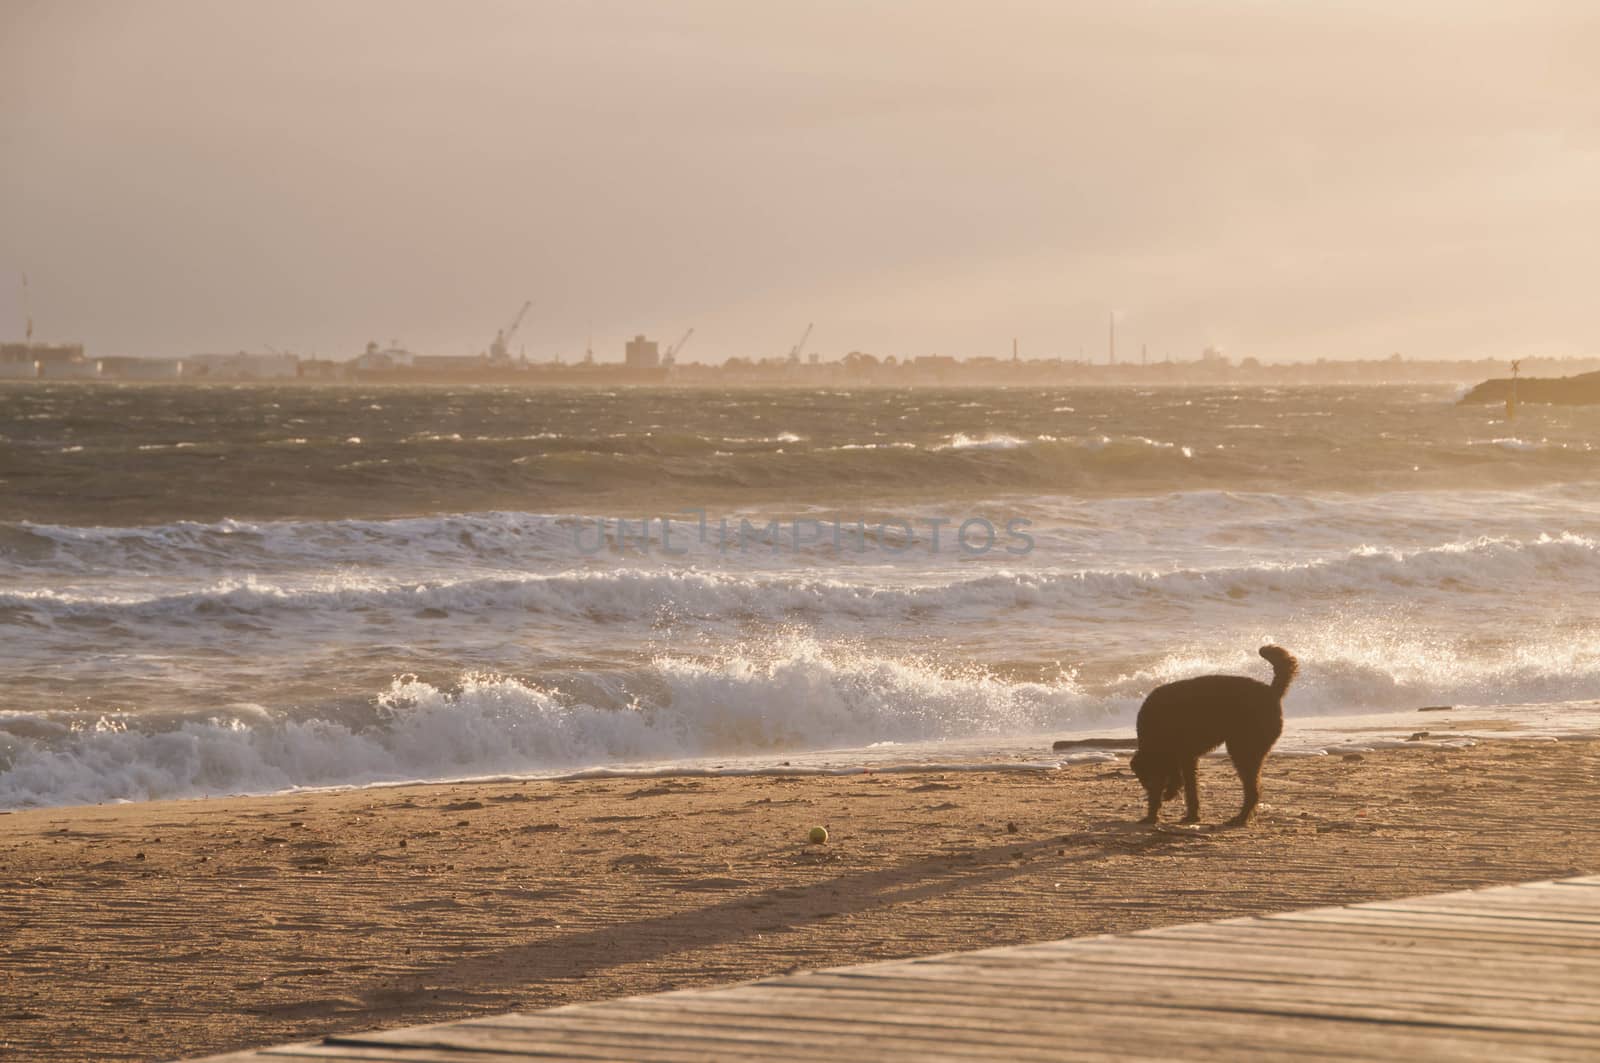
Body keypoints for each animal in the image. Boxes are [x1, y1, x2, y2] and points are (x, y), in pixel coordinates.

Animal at [1126, 643, 1299, 826]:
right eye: (1145, 780)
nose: (1151, 817)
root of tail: (1272, 692)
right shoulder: (1187, 758)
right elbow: (1191, 789)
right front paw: (1191, 816)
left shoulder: (1178, 757)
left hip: (1243, 749)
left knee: (1253, 790)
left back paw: (1240, 818)